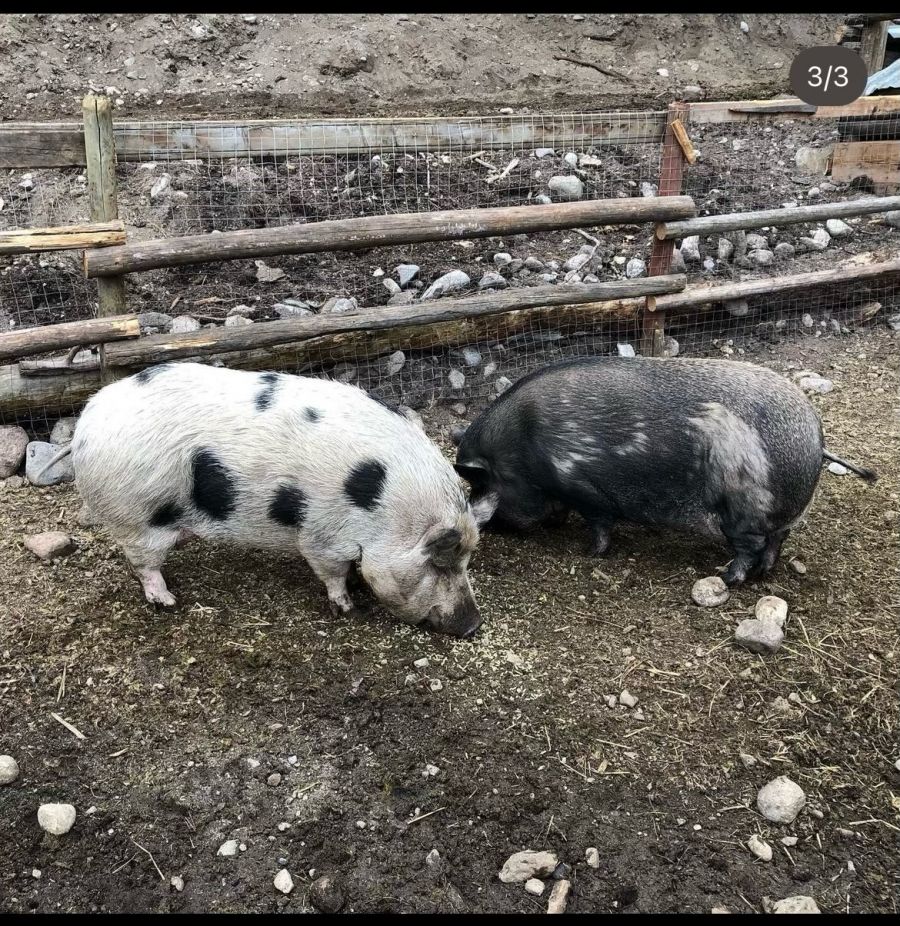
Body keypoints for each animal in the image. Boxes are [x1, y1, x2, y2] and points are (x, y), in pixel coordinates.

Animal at [51, 362, 484, 637]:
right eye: (440, 562)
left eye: (465, 561)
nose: (474, 625)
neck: (383, 509)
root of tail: (87, 422)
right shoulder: (321, 534)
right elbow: (331, 573)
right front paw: (348, 608)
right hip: (137, 518)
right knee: (144, 565)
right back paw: (169, 601)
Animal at [454, 357, 877, 586]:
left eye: (480, 483)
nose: (488, 526)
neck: (523, 451)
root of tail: (816, 436)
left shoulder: (584, 486)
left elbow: (600, 524)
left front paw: (589, 553)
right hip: (778, 515)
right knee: (777, 542)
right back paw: (763, 575)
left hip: (742, 509)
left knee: (751, 546)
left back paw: (727, 577)